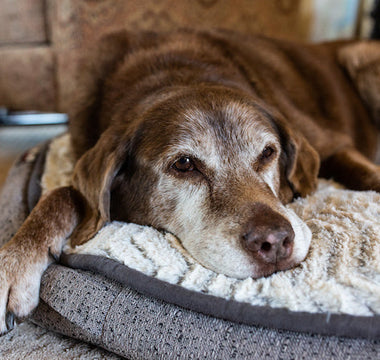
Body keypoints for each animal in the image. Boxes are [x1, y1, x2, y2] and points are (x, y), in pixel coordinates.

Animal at [0, 28, 380, 334]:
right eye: (184, 164)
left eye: (268, 152)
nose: (275, 242)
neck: (177, 73)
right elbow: (63, 194)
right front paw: (14, 264)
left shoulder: (331, 144)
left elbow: (363, 173)